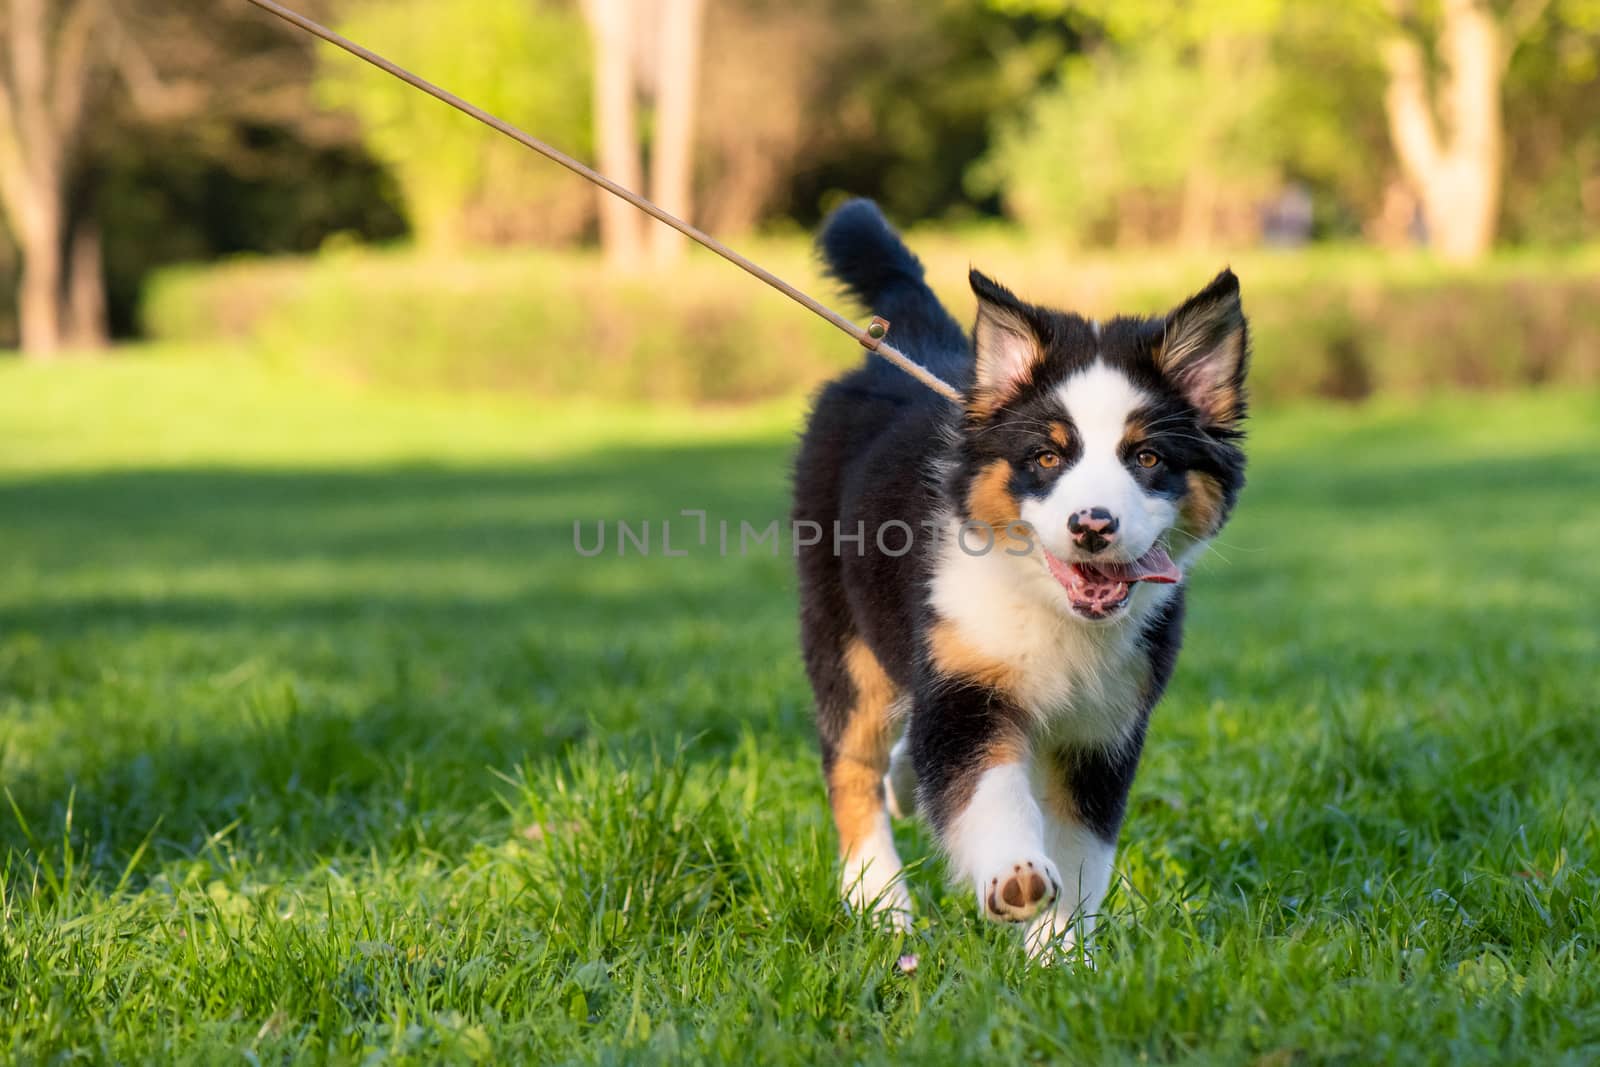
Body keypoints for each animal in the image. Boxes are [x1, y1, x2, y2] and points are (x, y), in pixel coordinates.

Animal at [793, 199, 1241, 959]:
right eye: (1047, 456)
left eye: (1147, 457)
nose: (1092, 526)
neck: (1048, 605)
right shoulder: (966, 682)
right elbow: (988, 789)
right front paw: (1017, 877)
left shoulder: (1105, 724)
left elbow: (1082, 850)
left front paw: (1061, 957)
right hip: (842, 629)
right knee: (850, 764)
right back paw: (878, 902)